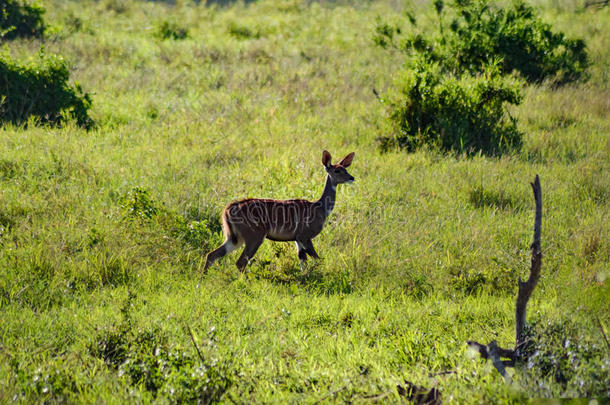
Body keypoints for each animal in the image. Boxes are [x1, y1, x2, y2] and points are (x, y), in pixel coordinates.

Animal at [203, 150, 354, 274]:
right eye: (337, 171)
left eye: (345, 169)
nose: (352, 178)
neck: (320, 208)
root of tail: (227, 210)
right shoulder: (305, 236)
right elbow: (317, 259)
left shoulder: (297, 239)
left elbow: (303, 263)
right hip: (254, 237)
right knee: (240, 262)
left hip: (234, 238)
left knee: (212, 255)